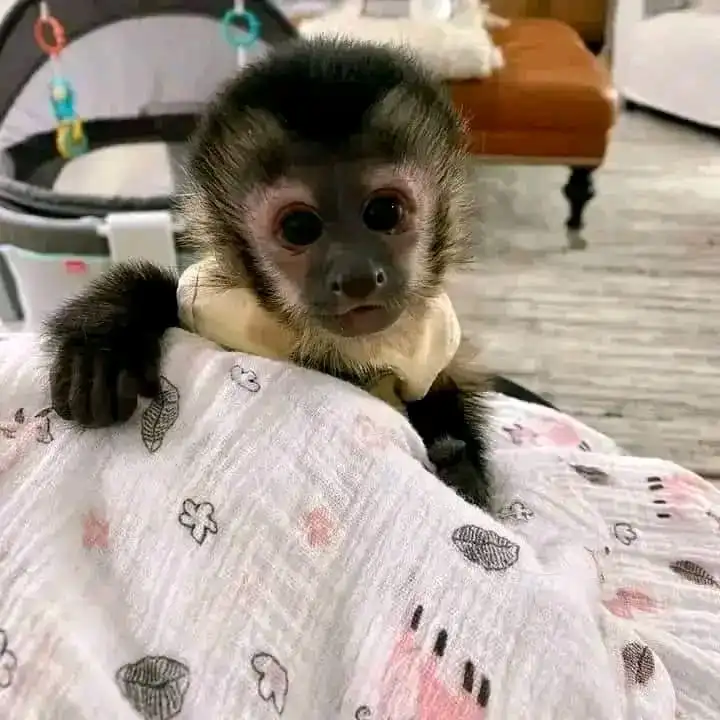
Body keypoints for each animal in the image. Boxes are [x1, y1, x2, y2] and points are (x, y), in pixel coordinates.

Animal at [43, 37, 493, 508]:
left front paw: (461, 468)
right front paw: (105, 341)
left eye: (384, 212)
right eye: (299, 228)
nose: (357, 276)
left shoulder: (433, 342)